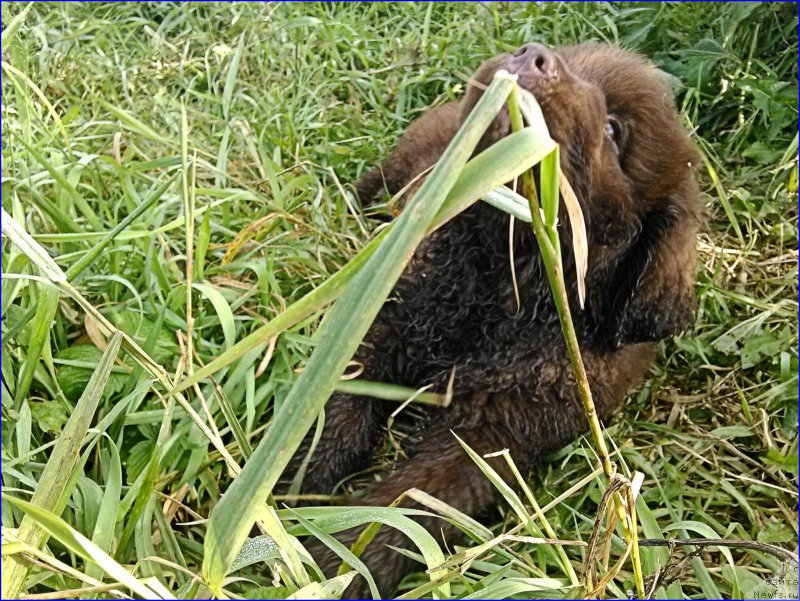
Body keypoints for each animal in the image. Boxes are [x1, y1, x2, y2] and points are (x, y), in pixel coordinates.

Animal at [286, 42, 700, 596]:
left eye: (615, 130)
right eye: (569, 57)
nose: (533, 55)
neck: (494, 287)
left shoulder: (490, 437)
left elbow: (406, 505)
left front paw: (333, 564)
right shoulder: (378, 331)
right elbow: (331, 421)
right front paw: (286, 494)